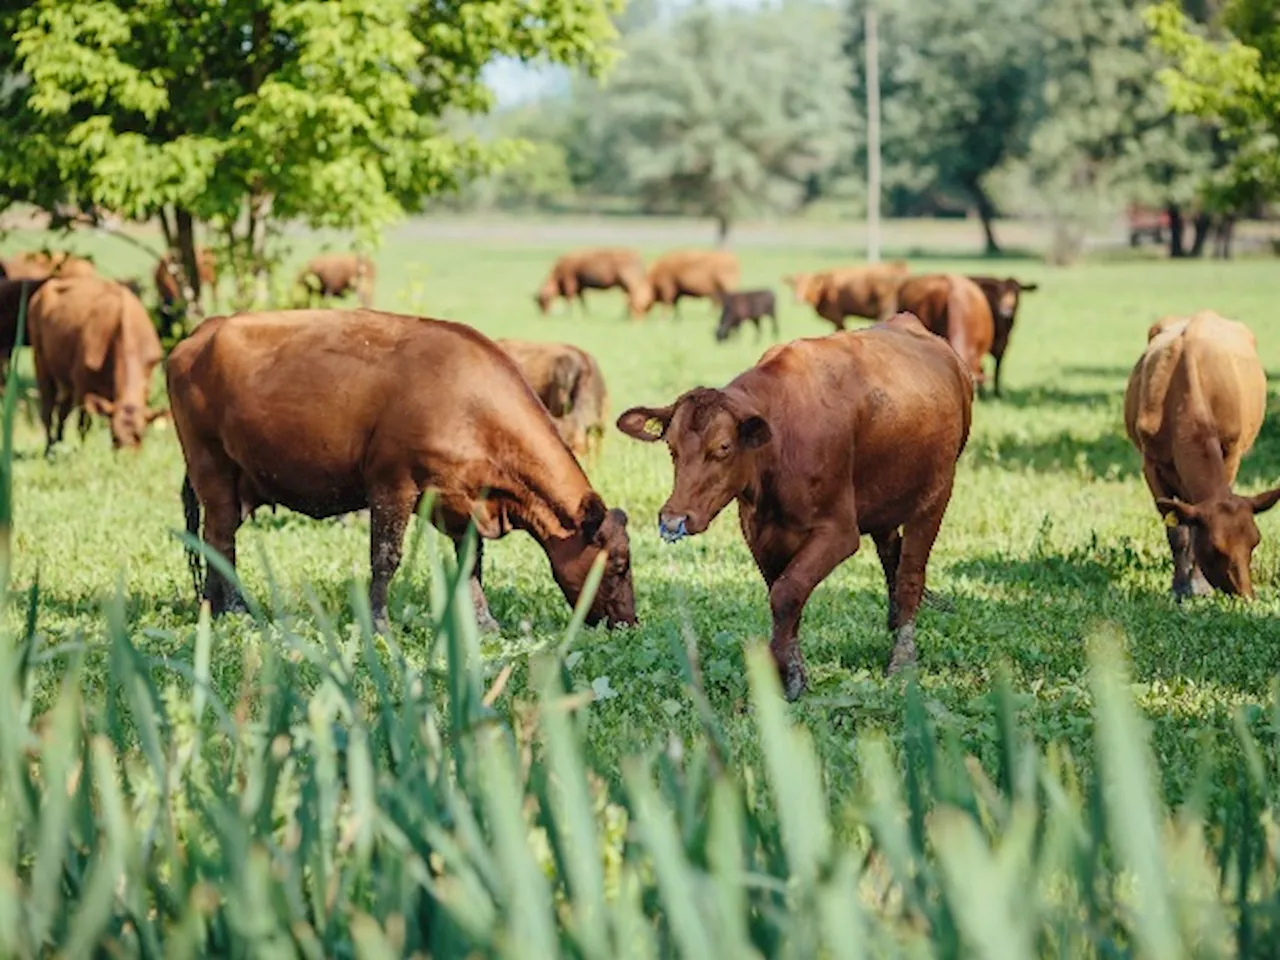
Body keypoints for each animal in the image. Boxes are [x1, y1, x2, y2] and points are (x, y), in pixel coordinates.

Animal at [167, 312, 637, 634]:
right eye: (618, 565)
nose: (630, 622)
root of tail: (205, 330)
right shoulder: (392, 485)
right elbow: (386, 558)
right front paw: (378, 624)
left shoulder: (464, 500)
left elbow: (472, 562)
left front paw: (483, 623)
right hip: (211, 466)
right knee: (220, 538)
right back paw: (236, 611)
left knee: (214, 539)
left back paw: (212, 606)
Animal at [616, 313, 967, 701]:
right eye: (672, 447)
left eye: (723, 447)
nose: (673, 518)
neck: (779, 441)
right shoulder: (759, 531)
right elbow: (784, 593)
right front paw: (792, 672)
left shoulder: (838, 532)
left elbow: (787, 592)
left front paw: (781, 674)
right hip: (886, 503)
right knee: (892, 558)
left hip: (934, 499)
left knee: (909, 576)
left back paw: (902, 658)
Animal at [1121, 312, 1280, 601]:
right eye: (1216, 548)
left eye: (1255, 542)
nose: (1246, 597)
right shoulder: (1150, 463)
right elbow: (1176, 530)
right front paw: (1181, 586)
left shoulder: (1231, 451)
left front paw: (1198, 585)